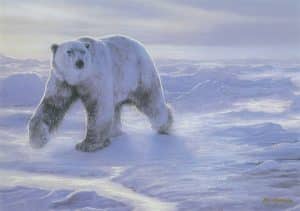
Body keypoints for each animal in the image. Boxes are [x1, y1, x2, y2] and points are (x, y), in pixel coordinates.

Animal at [28, 35, 173, 152]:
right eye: (69, 52)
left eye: (83, 52)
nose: (79, 63)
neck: (79, 78)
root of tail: (141, 46)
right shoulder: (61, 80)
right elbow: (52, 105)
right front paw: (37, 140)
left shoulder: (96, 78)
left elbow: (99, 108)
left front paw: (86, 145)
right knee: (116, 107)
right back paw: (114, 132)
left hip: (138, 75)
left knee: (150, 100)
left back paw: (163, 126)